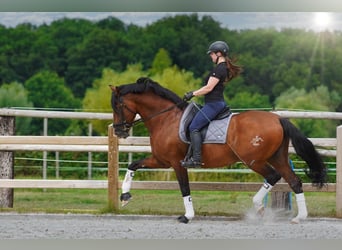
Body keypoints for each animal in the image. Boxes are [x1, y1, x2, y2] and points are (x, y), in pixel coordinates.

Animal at [109, 77, 326, 224]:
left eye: (118, 105)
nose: (119, 131)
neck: (166, 119)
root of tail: (278, 118)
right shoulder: (161, 160)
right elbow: (133, 165)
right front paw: (125, 197)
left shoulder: (176, 163)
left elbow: (184, 188)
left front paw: (187, 216)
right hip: (277, 157)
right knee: (294, 181)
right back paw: (299, 217)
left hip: (253, 160)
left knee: (273, 176)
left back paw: (259, 207)